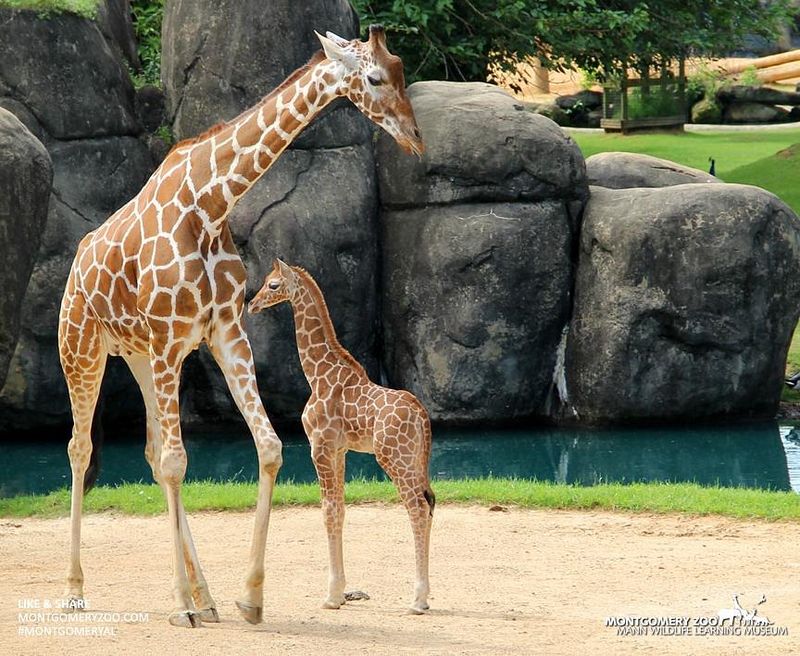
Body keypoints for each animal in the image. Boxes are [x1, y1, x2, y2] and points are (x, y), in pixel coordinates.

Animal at [249, 260, 435, 614]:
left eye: (274, 285)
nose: (251, 305)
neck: (317, 374)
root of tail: (421, 416)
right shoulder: (339, 450)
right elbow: (341, 510)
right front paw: (340, 591)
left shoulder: (319, 446)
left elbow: (328, 510)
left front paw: (332, 596)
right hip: (415, 459)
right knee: (429, 504)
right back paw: (425, 597)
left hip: (393, 456)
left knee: (417, 508)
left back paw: (418, 600)